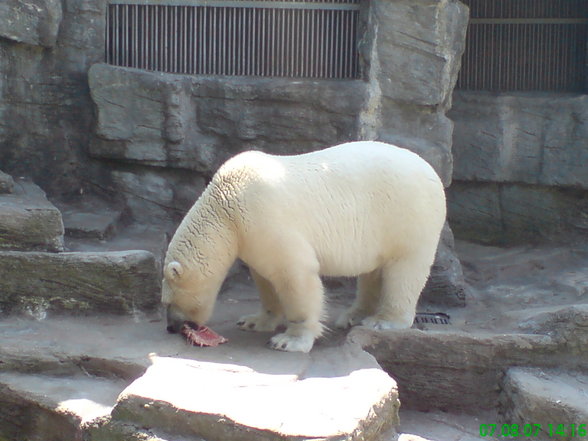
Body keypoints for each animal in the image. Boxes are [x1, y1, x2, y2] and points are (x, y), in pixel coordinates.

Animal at [161, 143, 446, 352]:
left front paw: (289, 340)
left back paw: (383, 321)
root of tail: (431, 171)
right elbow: (264, 277)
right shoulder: (252, 235)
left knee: (405, 270)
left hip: (406, 215)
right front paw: (254, 321)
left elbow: (295, 274)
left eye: (168, 301)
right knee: (373, 271)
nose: (171, 327)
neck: (224, 207)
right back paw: (353, 315)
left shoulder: (263, 215)